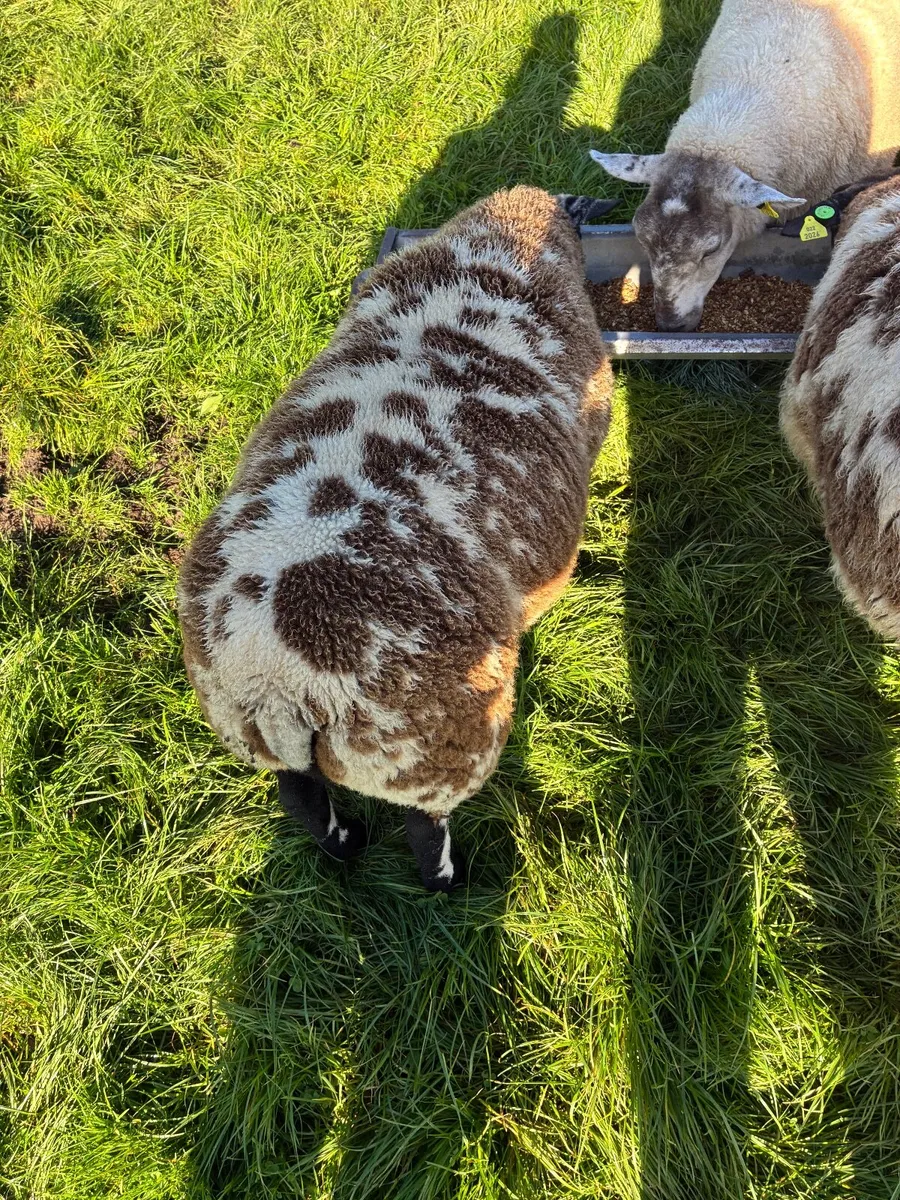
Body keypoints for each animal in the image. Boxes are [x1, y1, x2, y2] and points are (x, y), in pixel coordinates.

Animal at [176, 186, 615, 890]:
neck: (500, 248)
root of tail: (282, 684)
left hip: (249, 728)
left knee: (300, 796)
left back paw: (345, 842)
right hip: (434, 751)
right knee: (423, 830)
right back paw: (453, 881)